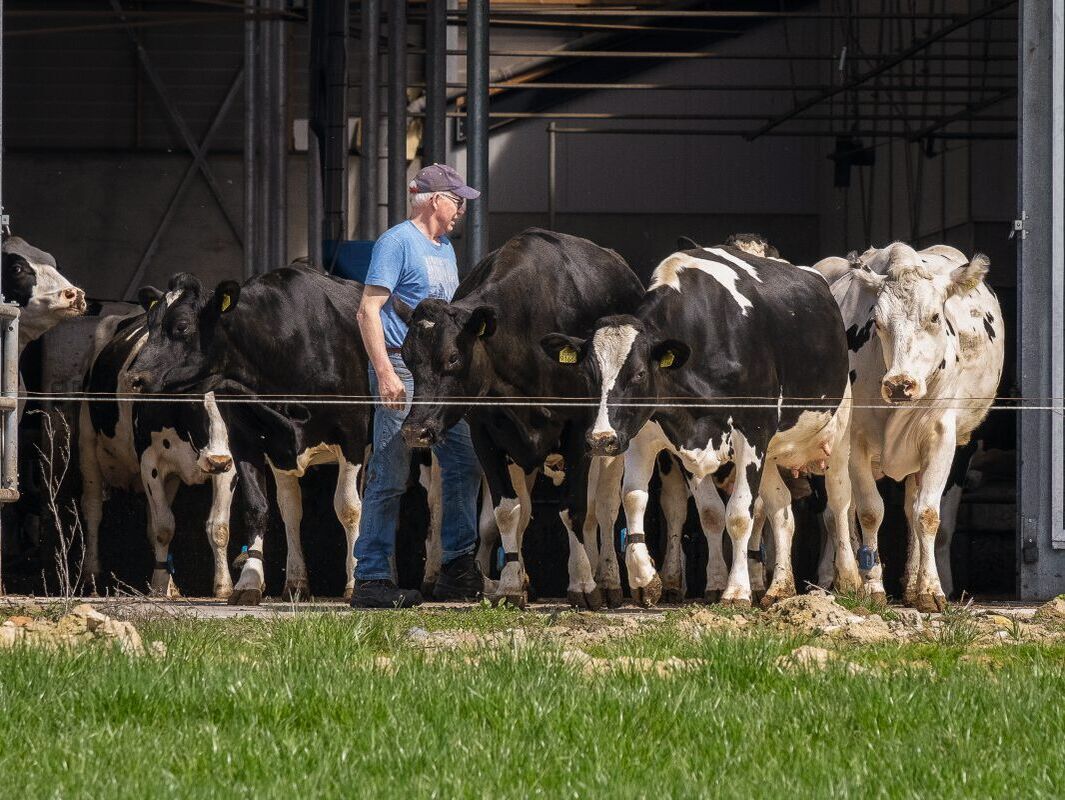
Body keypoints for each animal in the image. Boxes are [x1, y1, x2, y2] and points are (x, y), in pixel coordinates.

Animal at [79, 308, 237, 596]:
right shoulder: (149, 463)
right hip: (87, 443)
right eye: (192, 402)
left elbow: (218, 527)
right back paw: (91, 574)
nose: (217, 460)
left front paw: (223, 587)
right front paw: (157, 586)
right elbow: (164, 527)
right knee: (93, 508)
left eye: (232, 401)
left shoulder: (228, 466)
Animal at [128, 266, 372, 605]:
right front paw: (250, 580)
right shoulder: (246, 440)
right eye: (149, 324)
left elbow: (348, 508)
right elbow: (258, 508)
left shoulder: (353, 434)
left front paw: (354, 581)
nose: (135, 377)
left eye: (182, 326)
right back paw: (295, 582)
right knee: (290, 508)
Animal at [400, 227, 643, 609]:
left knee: (602, 508)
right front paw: (512, 585)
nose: (415, 431)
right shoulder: (487, 432)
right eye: (407, 358)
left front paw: (583, 584)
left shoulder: (580, 431)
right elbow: (509, 511)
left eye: (453, 357)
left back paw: (606, 578)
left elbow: (574, 509)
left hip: (611, 442)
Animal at [545, 243, 860, 605]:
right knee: (781, 509)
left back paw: (850, 580)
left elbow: (739, 514)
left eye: (638, 374)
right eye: (589, 374)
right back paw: (780, 587)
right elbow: (640, 499)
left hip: (839, 432)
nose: (600, 439)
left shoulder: (752, 432)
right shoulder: (652, 438)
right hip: (771, 451)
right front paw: (646, 578)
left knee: (839, 501)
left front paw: (736, 591)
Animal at [830, 240, 1005, 609]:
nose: (900, 383)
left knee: (912, 509)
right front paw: (872, 587)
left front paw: (929, 590)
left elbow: (926, 513)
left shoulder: (941, 437)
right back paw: (849, 580)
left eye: (935, 317)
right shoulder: (855, 441)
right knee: (843, 510)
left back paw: (911, 583)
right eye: (877, 322)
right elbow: (869, 511)